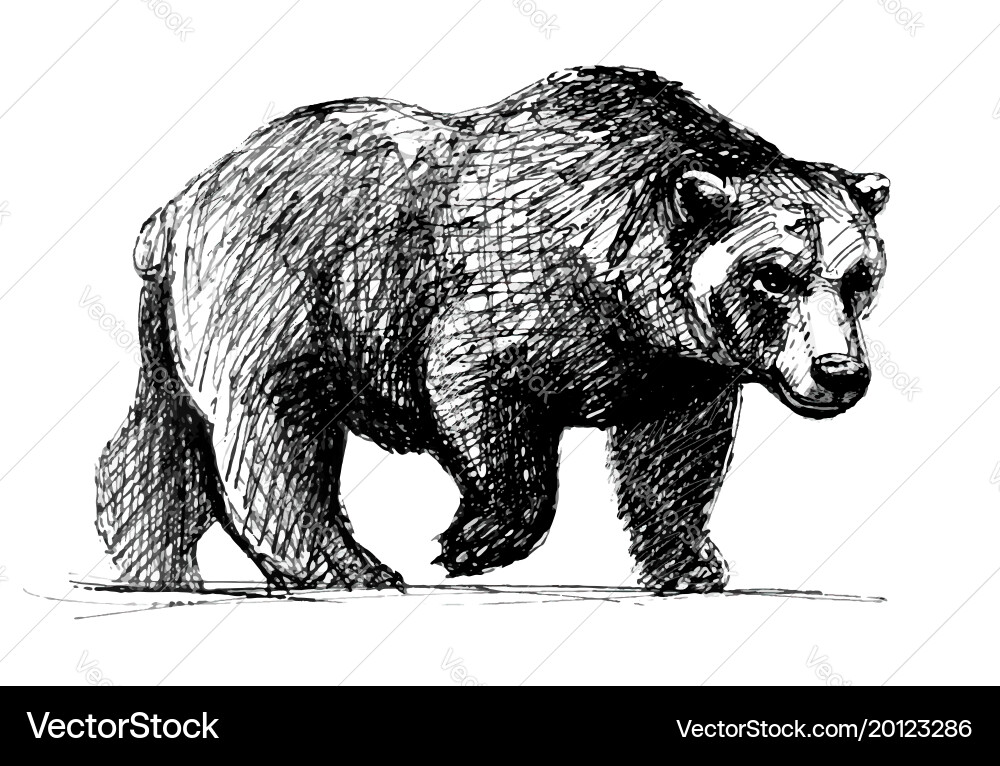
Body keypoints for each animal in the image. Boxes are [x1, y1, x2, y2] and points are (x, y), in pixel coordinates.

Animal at [95, 66, 889, 593]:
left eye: (860, 276)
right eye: (775, 274)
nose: (839, 372)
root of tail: (177, 204)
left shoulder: (676, 361)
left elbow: (674, 454)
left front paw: (691, 563)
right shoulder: (511, 285)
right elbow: (481, 395)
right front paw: (471, 541)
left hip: (170, 320)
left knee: (157, 436)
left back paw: (154, 563)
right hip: (281, 286)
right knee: (275, 426)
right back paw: (347, 567)